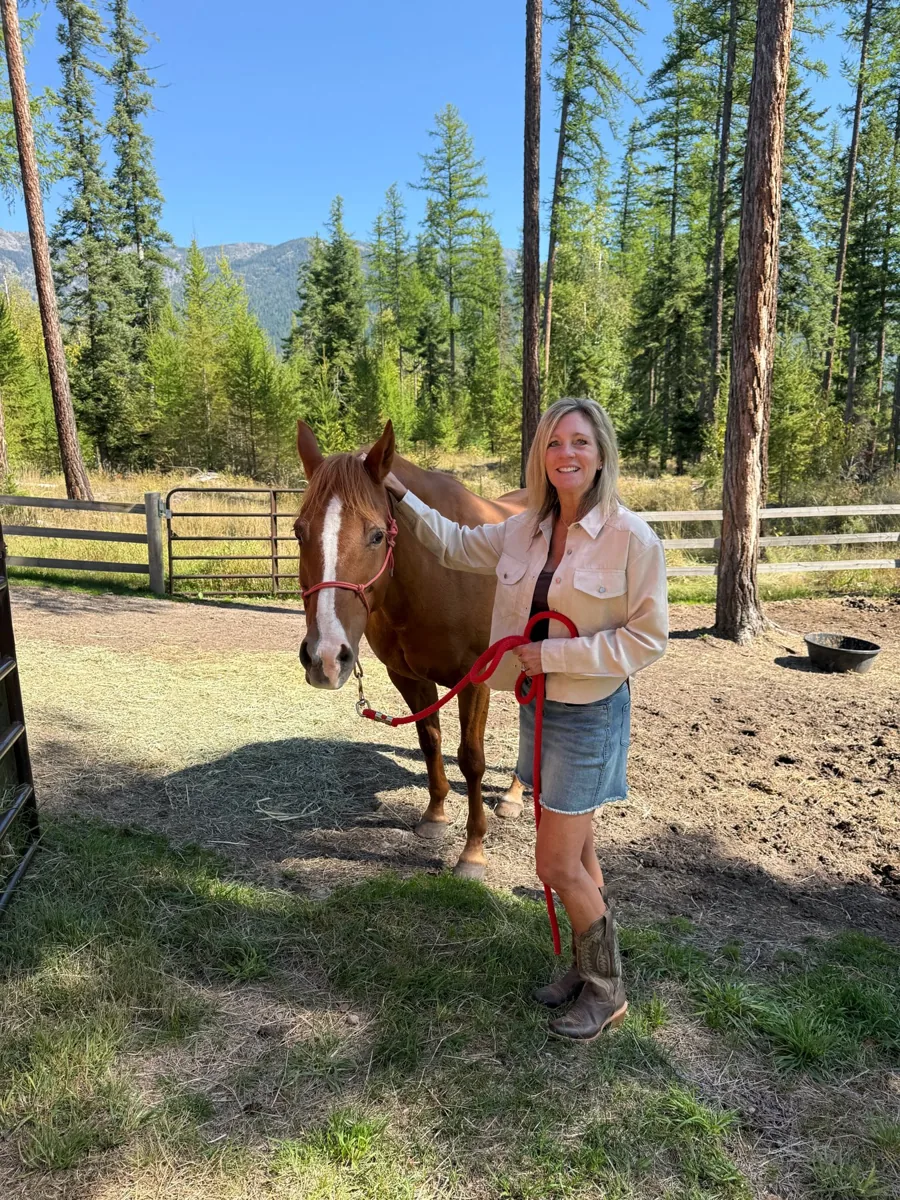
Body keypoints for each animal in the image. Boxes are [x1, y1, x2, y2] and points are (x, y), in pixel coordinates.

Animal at [294, 418, 528, 880]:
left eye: (376, 535)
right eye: (298, 531)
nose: (324, 657)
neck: (440, 571)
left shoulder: (475, 680)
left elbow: (471, 758)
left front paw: (473, 851)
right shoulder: (407, 676)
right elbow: (430, 740)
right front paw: (435, 817)